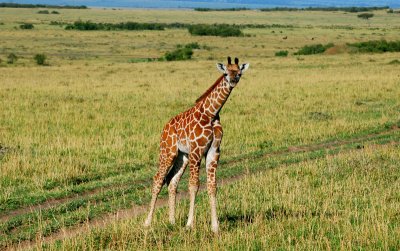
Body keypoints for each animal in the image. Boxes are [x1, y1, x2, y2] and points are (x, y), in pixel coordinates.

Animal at [144, 56, 250, 233]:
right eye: (226, 73)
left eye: (239, 73)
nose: (233, 81)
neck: (211, 113)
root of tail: (165, 127)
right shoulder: (196, 151)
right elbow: (194, 186)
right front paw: (189, 225)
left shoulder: (214, 151)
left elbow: (212, 186)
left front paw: (215, 227)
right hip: (168, 151)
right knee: (158, 179)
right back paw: (147, 223)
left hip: (182, 156)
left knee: (171, 180)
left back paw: (172, 221)